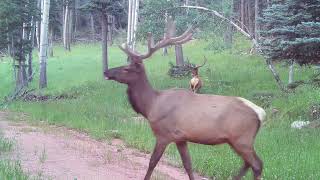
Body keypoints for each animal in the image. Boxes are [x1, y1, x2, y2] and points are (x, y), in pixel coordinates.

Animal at [104, 27, 264, 180]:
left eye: (126, 68)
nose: (106, 71)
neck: (150, 105)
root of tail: (261, 113)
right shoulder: (180, 138)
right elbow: (187, 165)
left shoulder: (163, 135)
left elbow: (152, 162)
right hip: (238, 141)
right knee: (248, 164)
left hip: (242, 139)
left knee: (257, 164)